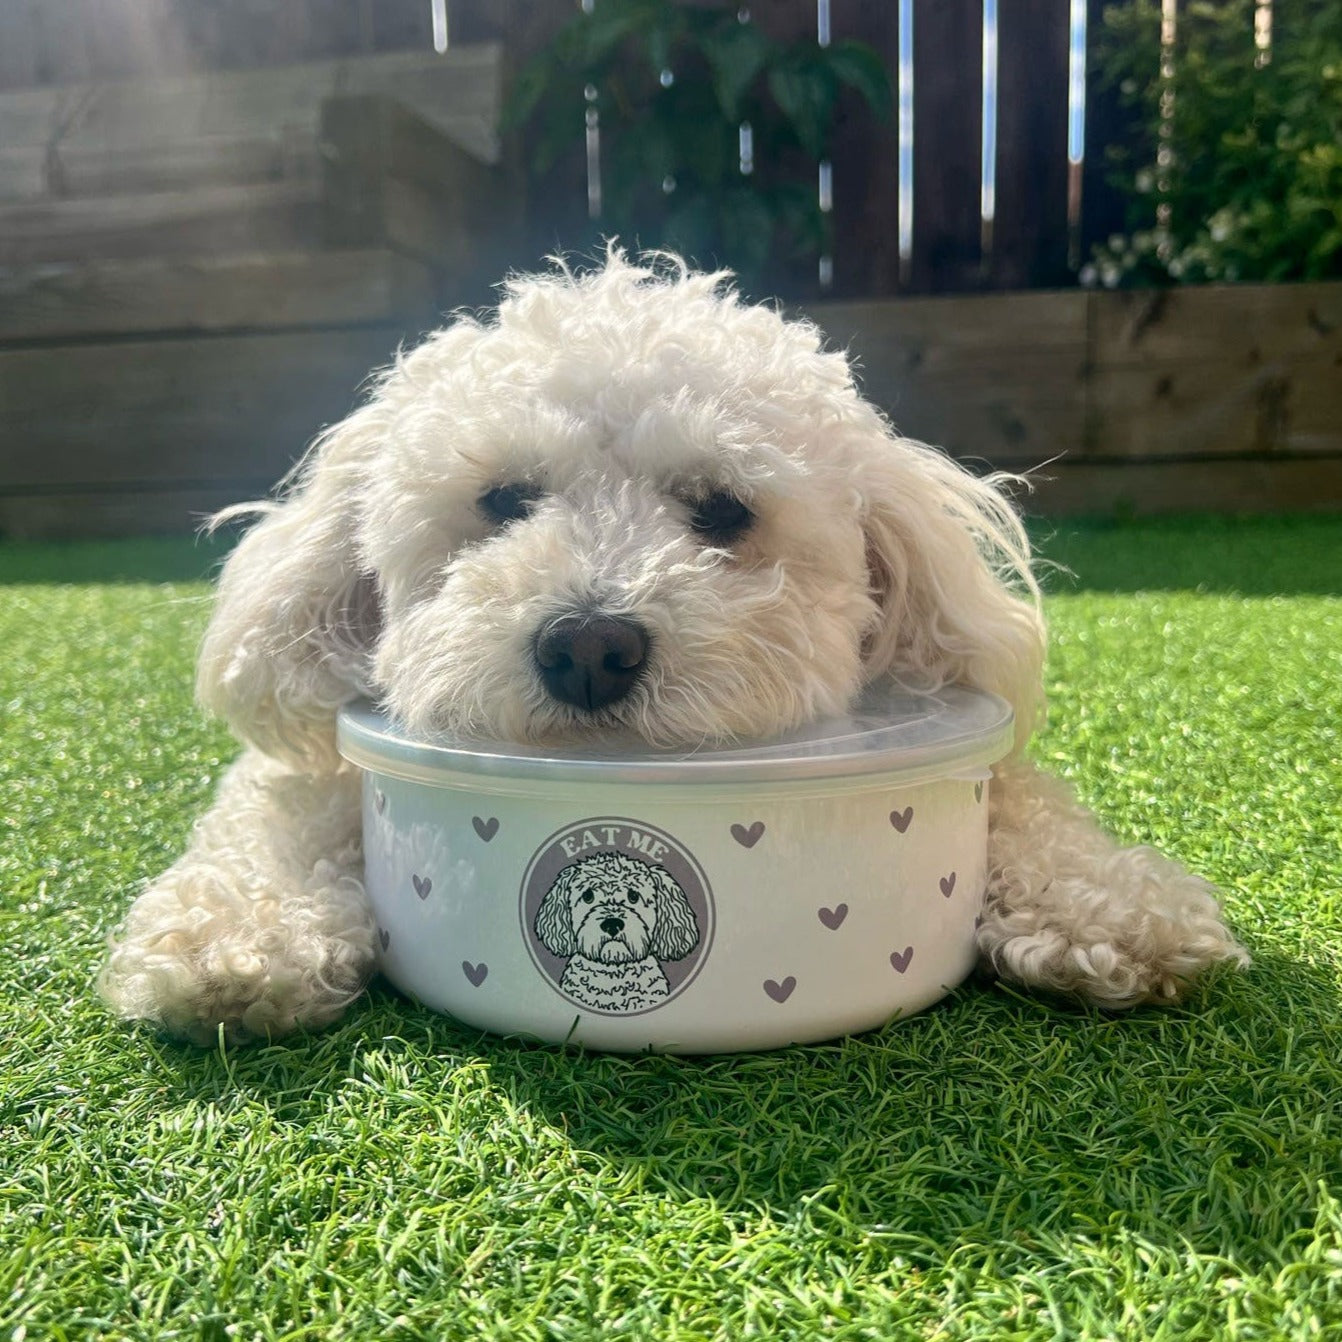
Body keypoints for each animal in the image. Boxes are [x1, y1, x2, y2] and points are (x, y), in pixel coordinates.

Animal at [97, 253, 1245, 1046]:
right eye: (504, 501)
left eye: (722, 510)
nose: (589, 646)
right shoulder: (301, 769)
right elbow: (275, 815)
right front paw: (235, 939)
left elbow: (1032, 805)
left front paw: (1115, 907)